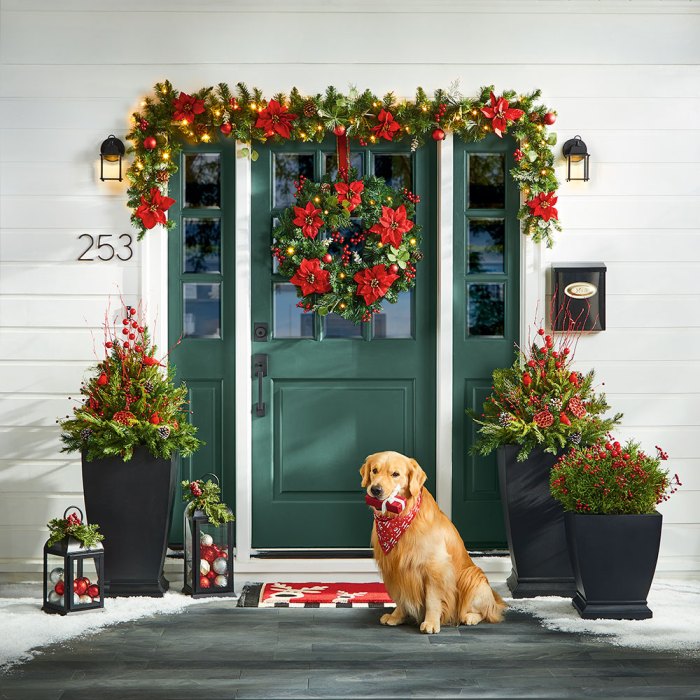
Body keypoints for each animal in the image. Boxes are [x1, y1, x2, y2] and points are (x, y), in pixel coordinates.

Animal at [360, 452, 504, 632]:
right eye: (374, 470)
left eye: (395, 474)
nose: (375, 489)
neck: (401, 517)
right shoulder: (395, 567)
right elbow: (401, 597)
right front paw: (396, 616)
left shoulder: (435, 567)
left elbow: (432, 600)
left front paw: (430, 623)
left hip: (472, 576)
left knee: (487, 611)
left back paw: (469, 617)